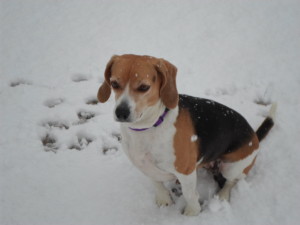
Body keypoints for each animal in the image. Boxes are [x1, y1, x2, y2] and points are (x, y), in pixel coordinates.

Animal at [97, 54, 276, 216]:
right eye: (114, 83)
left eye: (143, 87)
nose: (121, 112)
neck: (149, 127)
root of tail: (254, 135)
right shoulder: (144, 165)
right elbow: (156, 183)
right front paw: (164, 199)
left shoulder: (186, 171)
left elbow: (189, 194)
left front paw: (192, 212)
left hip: (231, 167)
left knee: (232, 181)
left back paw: (223, 195)